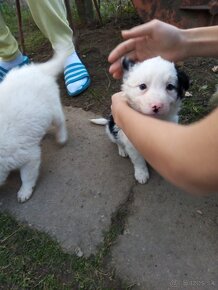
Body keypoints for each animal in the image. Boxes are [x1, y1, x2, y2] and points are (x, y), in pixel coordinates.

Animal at [0, 52, 67, 202]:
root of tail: (37, 69)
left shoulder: (29, 157)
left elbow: (27, 177)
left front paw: (24, 191)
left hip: (53, 109)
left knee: (61, 122)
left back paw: (62, 137)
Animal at [90, 56, 189, 184]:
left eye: (170, 87)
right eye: (142, 86)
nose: (157, 106)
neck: (151, 122)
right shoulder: (131, 142)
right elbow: (138, 160)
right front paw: (141, 174)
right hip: (111, 129)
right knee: (116, 141)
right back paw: (122, 150)